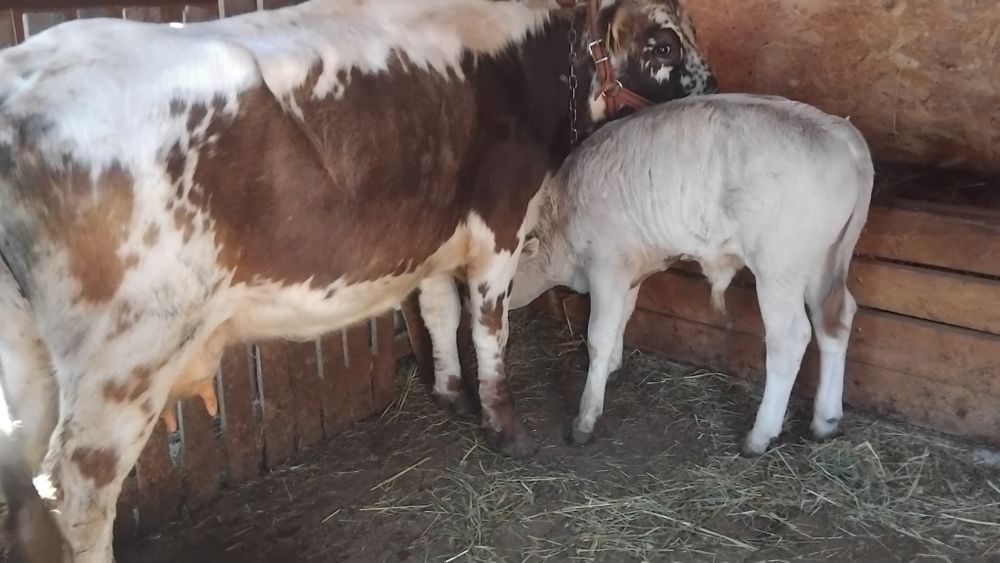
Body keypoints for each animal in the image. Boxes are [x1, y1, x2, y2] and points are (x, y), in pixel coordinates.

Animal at [0, 0, 714, 560]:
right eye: (662, 42)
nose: (712, 87)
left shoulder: (435, 235)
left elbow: (438, 312)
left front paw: (451, 394)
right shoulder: (499, 227)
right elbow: (489, 330)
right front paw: (505, 430)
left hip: (31, 375)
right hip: (124, 362)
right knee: (78, 499)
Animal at [503, 94, 874, 452]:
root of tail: (840, 132)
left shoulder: (606, 267)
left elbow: (599, 335)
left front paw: (585, 418)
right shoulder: (629, 269)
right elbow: (623, 317)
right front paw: (611, 367)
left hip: (779, 269)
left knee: (790, 338)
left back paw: (760, 435)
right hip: (825, 262)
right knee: (835, 322)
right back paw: (825, 420)